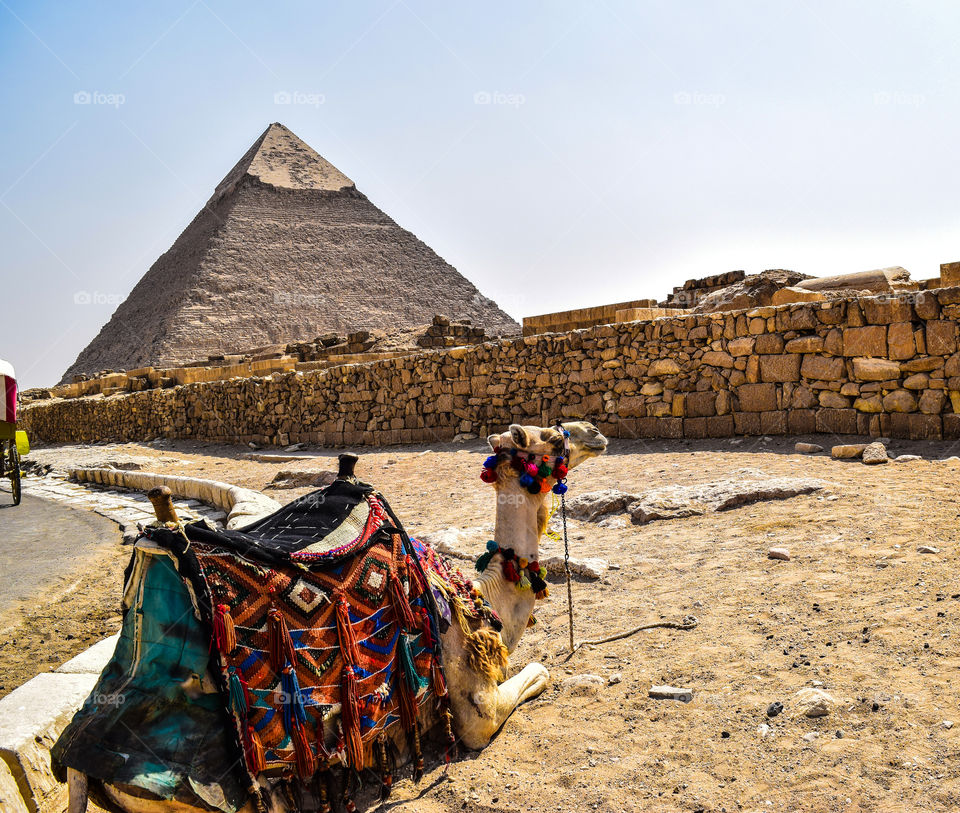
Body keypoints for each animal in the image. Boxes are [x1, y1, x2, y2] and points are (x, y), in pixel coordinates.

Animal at [67, 422, 608, 808]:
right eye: (552, 436)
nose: (594, 432)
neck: (481, 595)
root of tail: (80, 765)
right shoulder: (472, 703)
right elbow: (532, 675)